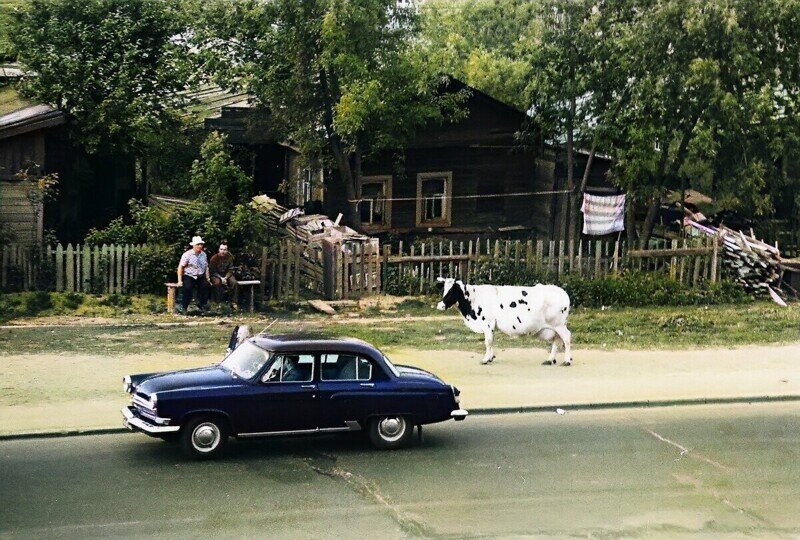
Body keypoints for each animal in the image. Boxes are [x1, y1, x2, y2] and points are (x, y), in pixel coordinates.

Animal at [434, 280, 572, 364]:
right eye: (444, 290)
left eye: (451, 291)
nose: (440, 305)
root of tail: (562, 292)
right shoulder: (491, 326)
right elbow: (491, 341)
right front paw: (490, 358)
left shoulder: (487, 323)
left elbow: (488, 342)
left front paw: (485, 359)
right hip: (555, 327)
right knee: (557, 341)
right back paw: (550, 360)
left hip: (558, 325)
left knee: (566, 338)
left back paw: (567, 361)